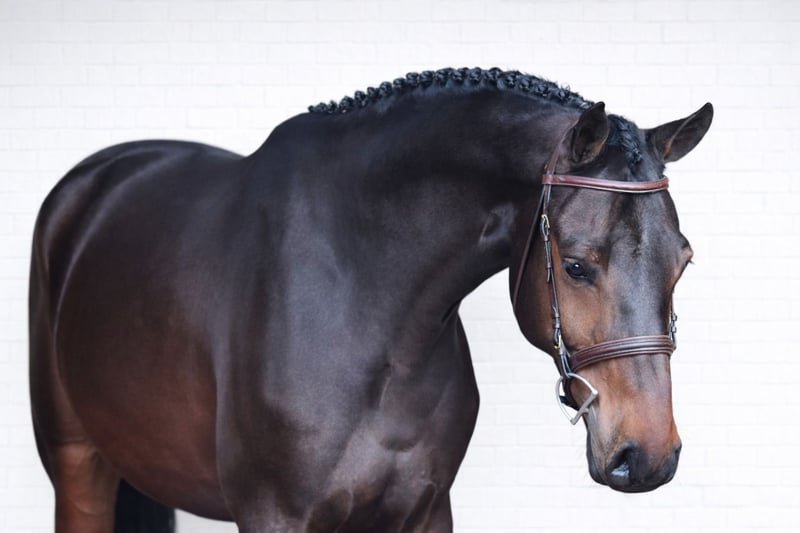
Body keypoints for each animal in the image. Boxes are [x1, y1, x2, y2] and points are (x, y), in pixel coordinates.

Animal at [29, 67, 712, 532]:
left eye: (682, 263)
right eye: (574, 266)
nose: (648, 456)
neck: (365, 304)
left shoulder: (425, 509)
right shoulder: (275, 516)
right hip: (77, 462)